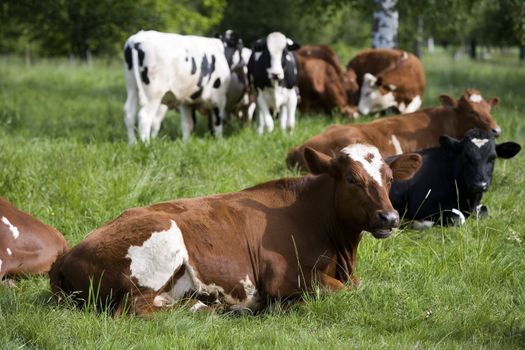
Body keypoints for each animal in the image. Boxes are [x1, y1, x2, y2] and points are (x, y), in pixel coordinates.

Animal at [50, 144, 422, 316]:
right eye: (352, 179)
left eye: (390, 179)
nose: (389, 217)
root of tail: (68, 254)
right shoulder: (285, 278)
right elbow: (345, 291)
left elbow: (356, 285)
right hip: (161, 241)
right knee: (136, 310)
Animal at [388, 127, 520, 228]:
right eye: (466, 156)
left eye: (492, 158)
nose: (480, 185)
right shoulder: (419, 205)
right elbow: (458, 217)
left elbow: (484, 210)